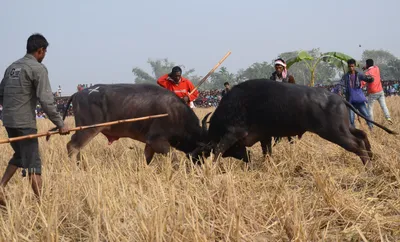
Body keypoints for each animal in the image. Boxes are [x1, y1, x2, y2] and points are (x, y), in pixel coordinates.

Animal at [57, 83, 208, 164]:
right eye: (203, 151)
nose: (201, 165)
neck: (176, 114)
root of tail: (77, 94)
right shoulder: (157, 141)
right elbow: (174, 160)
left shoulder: (150, 144)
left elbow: (146, 159)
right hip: (88, 129)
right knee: (73, 146)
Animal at [193, 79, 396, 166]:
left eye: (201, 152)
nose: (197, 164)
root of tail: (338, 98)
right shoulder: (265, 137)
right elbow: (267, 153)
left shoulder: (232, 134)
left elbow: (218, 151)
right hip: (345, 128)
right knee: (363, 134)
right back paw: (373, 158)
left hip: (335, 133)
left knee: (357, 143)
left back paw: (368, 166)